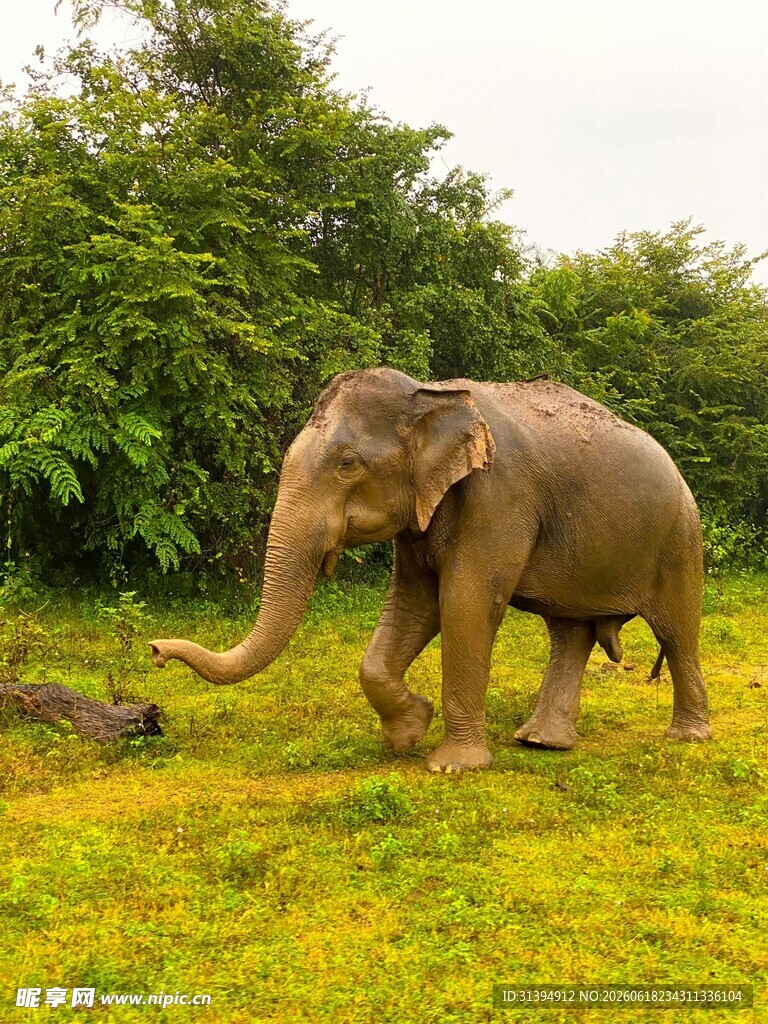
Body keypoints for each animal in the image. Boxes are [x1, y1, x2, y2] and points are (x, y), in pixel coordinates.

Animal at [150, 367, 711, 773]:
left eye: (348, 464)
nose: (155, 652)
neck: (432, 394)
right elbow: (413, 603)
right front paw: (408, 733)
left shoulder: (499, 495)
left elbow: (463, 602)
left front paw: (451, 767)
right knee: (569, 633)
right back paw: (541, 742)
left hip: (680, 539)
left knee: (677, 631)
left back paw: (686, 737)